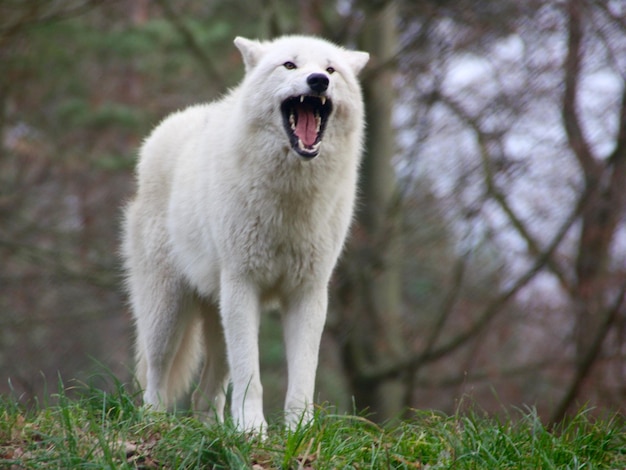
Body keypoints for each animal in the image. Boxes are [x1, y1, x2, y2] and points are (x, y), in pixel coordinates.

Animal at [120, 35, 366, 432]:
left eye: (331, 69)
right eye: (289, 65)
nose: (318, 81)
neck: (290, 198)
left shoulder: (309, 293)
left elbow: (303, 377)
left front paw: (300, 431)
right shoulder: (243, 284)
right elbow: (250, 375)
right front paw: (252, 431)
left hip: (218, 315)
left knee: (205, 394)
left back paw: (212, 430)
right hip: (168, 311)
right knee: (155, 375)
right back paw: (154, 423)